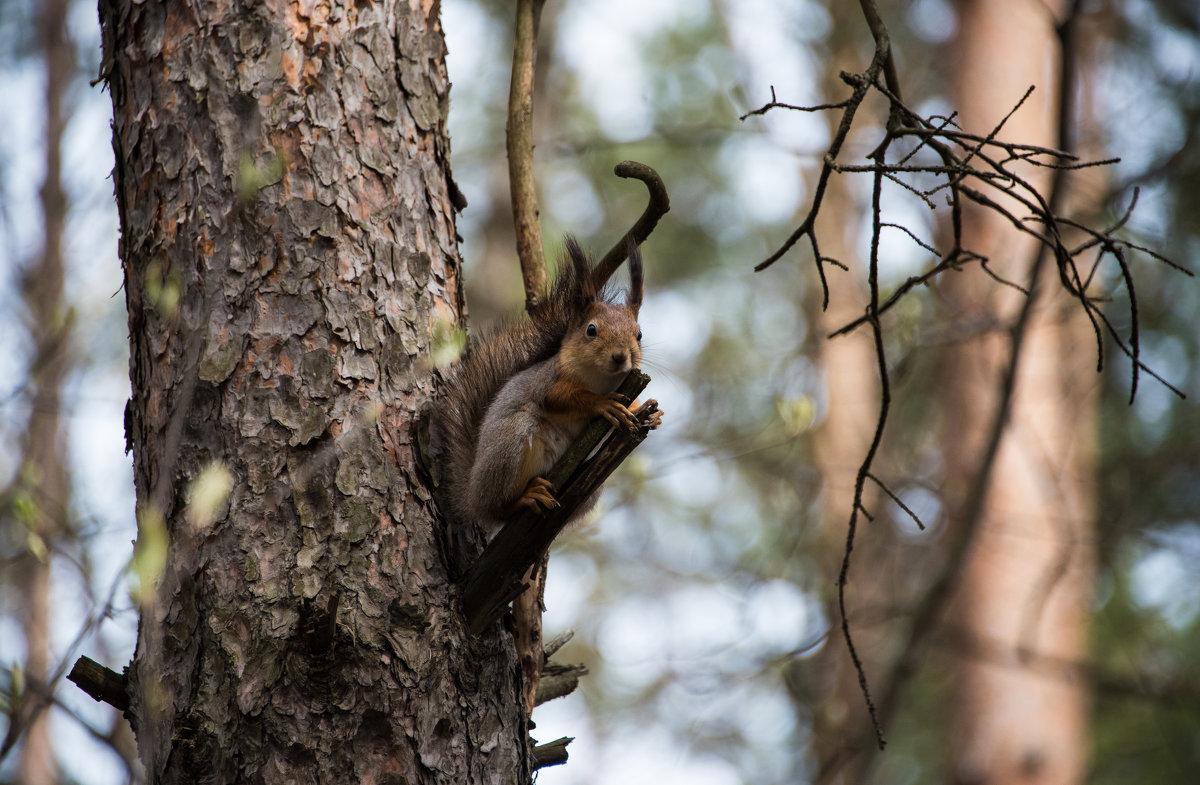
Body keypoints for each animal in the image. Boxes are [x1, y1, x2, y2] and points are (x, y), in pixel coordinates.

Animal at [432, 236, 662, 537]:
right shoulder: (547, 381)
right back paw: (522, 498)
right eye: (591, 330)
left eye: (639, 334)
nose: (621, 356)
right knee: (498, 508)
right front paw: (603, 404)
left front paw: (646, 410)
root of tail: (471, 498)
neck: (602, 379)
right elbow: (559, 399)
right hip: (509, 445)